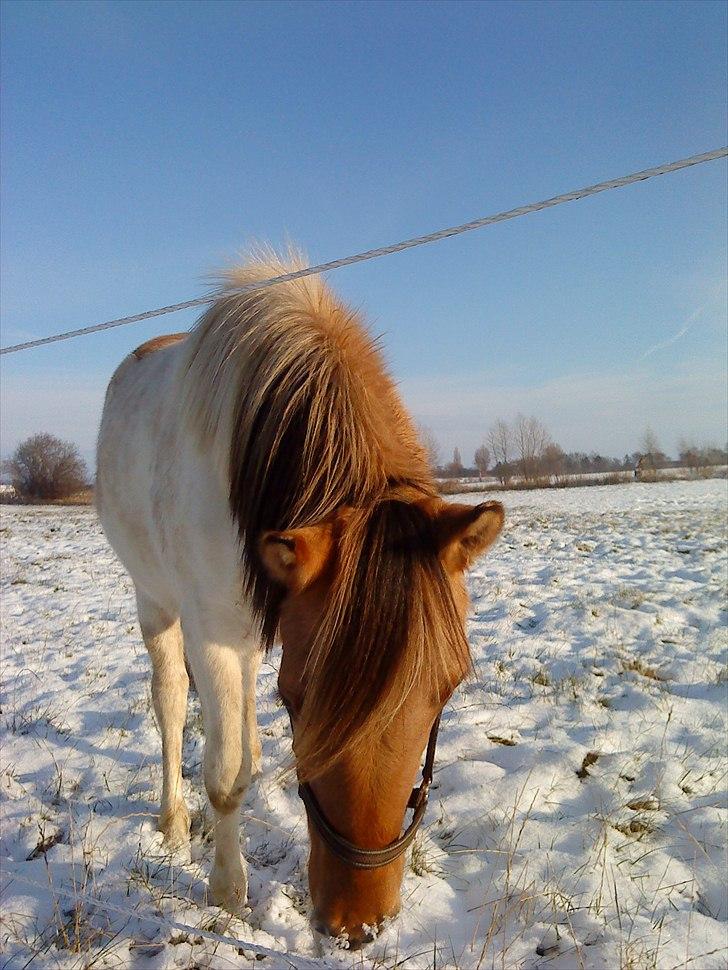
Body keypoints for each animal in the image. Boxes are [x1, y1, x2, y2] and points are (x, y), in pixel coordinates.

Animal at [94, 253, 504, 948]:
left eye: (448, 689)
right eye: (298, 699)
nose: (356, 925)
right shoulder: (212, 631)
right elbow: (222, 775)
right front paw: (227, 893)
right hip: (156, 601)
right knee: (171, 702)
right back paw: (174, 823)